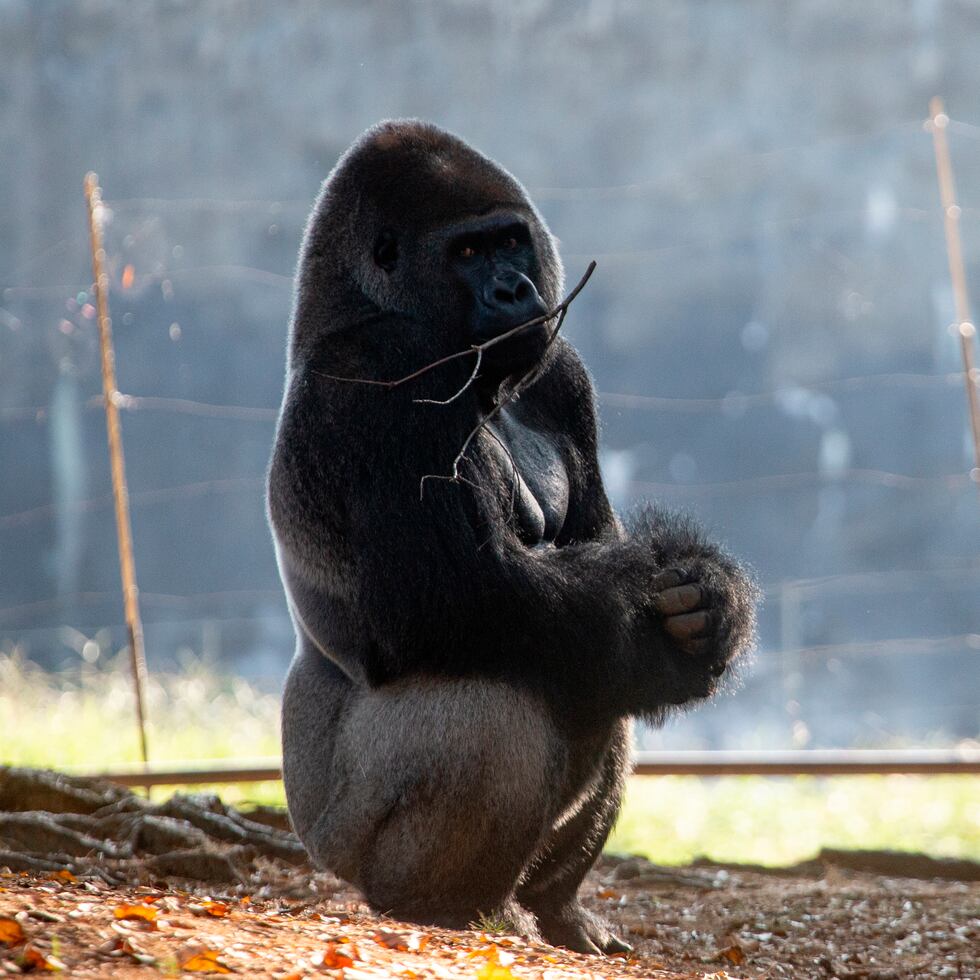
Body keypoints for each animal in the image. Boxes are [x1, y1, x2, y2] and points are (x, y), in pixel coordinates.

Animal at [268, 118, 756, 952]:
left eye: (509, 243)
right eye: (467, 252)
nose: (513, 291)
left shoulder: (561, 370)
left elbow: (597, 556)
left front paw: (711, 601)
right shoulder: (382, 367)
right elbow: (456, 599)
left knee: (594, 674)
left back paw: (557, 904)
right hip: (340, 837)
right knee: (499, 690)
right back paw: (444, 901)